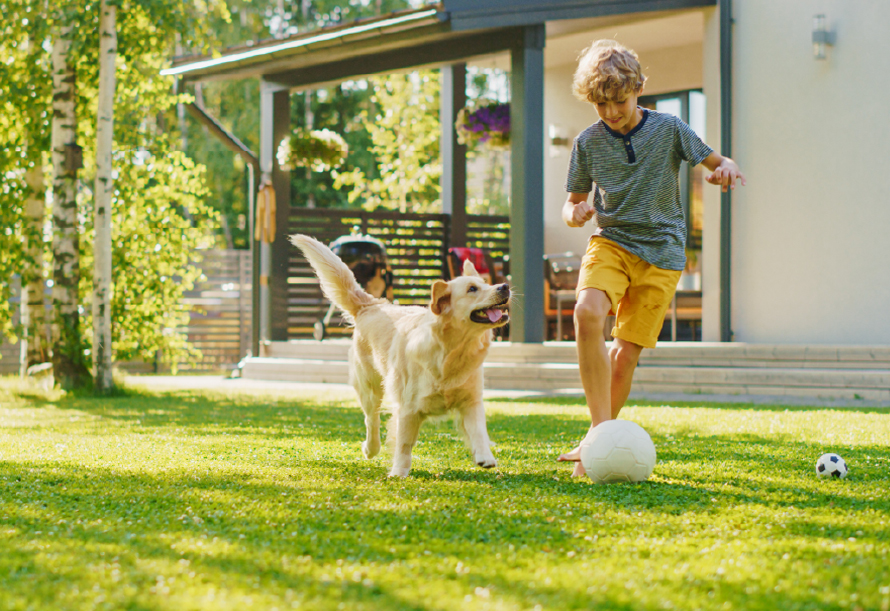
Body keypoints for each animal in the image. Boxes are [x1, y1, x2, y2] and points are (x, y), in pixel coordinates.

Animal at [292, 234, 510, 478]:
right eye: (472, 289)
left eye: (487, 283)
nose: (504, 286)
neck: (452, 351)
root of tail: (372, 304)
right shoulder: (408, 408)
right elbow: (404, 444)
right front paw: (398, 472)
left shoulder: (471, 400)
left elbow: (479, 431)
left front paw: (485, 457)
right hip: (370, 387)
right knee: (371, 419)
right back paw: (370, 448)